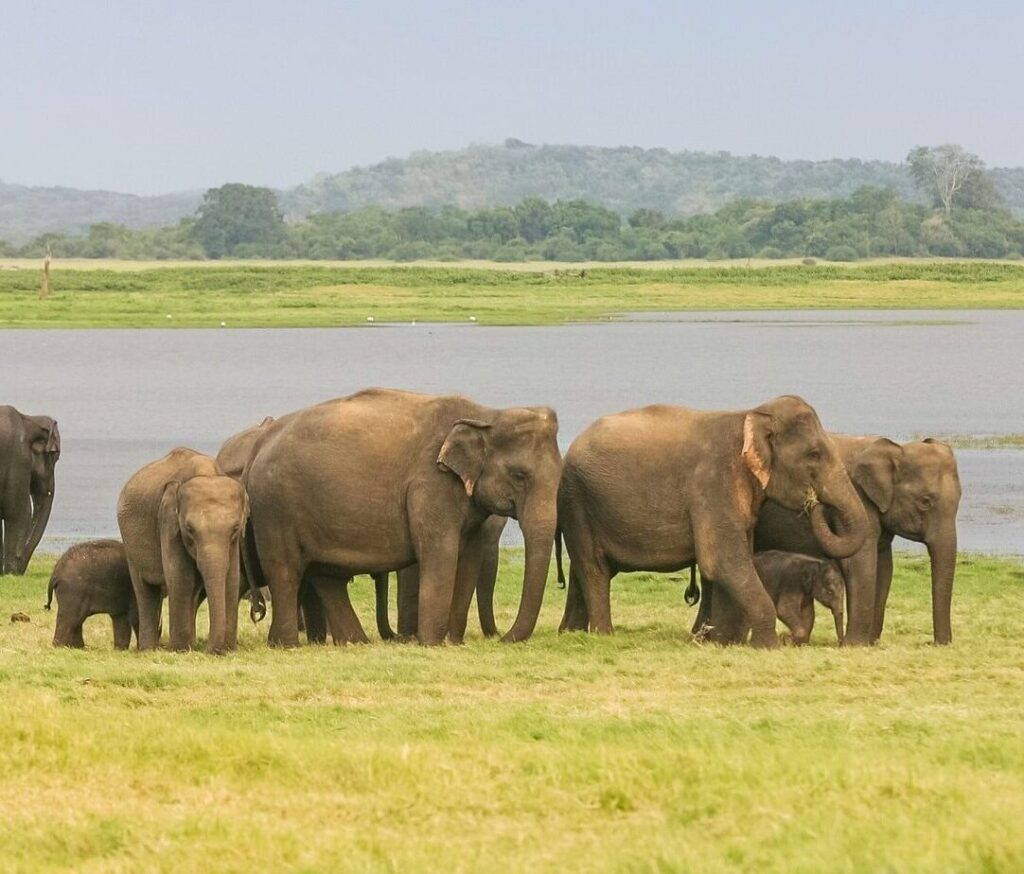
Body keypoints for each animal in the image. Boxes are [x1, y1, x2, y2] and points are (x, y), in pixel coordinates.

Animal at [0, 406, 60, 575]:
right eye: (54, 455)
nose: (20, 570)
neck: (28, 418)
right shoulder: (18, 458)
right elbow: (20, 513)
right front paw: (10, 573)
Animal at [117, 448, 249, 654]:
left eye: (235, 528)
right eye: (189, 529)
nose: (211, 650)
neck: (207, 473)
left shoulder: (235, 541)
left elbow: (231, 578)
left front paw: (227, 649)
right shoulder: (168, 523)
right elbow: (180, 576)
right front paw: (180, 650)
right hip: (130, 542)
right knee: (145, 590)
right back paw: (149, 649)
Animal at [242, 388, 561, 647]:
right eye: (519, 475)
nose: (502, 639)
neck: (486, 414)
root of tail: (258, 445)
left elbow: (469, 557)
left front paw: (453, 642)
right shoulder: (430, 484)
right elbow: (440, 553)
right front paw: (432, 644)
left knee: (327, 577)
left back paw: (354, 643)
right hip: (275, 508)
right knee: (285, 572)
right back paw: (286, 645)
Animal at [556, 395, 868, 648]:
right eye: (814, 455)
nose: (814, 503)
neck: (749, 416)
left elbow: (731, 563)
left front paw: (715, 641)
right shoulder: (713, 484)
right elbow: (722, 561)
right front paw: (766, 646)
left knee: (583, 570)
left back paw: (571, 634)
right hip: (578, 499)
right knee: (594, 568)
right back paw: (603, 635)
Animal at [747, 436, 961, 645]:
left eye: (960, 500)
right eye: (925, 502)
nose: (936, 644)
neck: (891, 448)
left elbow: (884, 567)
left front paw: (871, 642)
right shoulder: (858, 498)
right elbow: (860, 562)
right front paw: (855, 644)